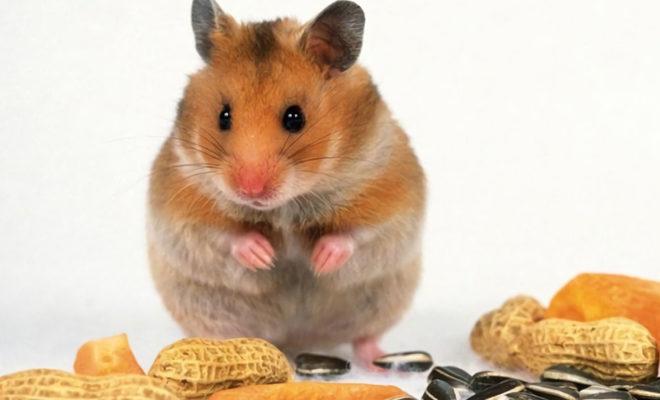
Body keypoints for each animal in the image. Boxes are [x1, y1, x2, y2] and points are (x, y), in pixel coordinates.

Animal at [147, 0, 426, 366]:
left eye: (295, 118)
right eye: (223, 116)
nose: (250, 191)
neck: (287, 206)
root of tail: (297, 341)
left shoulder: (391, 199)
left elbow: (358, 234)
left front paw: (320, 261)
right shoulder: (182, 208)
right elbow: (222, 234)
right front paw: (264, 256)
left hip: (381, 302)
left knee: (364, 338)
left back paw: (383, 363)